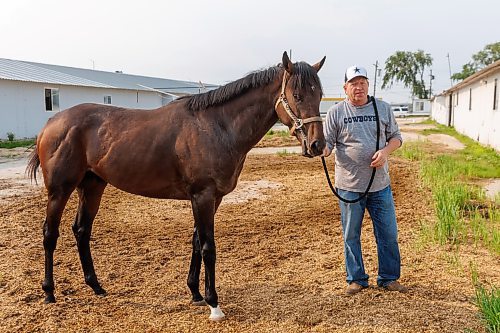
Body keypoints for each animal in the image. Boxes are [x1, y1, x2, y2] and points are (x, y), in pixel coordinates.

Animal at [27, 51, 326, 320]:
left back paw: (96, 286)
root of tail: (51, 123)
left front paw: (195, 293)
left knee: (81, 231)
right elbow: (208, 247)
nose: (317, 145)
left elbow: (196, 242)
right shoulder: (203, 196)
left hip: (92, 187)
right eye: (297, 96)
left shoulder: (211, 199)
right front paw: (214, 304)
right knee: (50, 234)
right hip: (59, 191)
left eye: (319, 95)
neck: (217, 126)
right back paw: (49, 292)